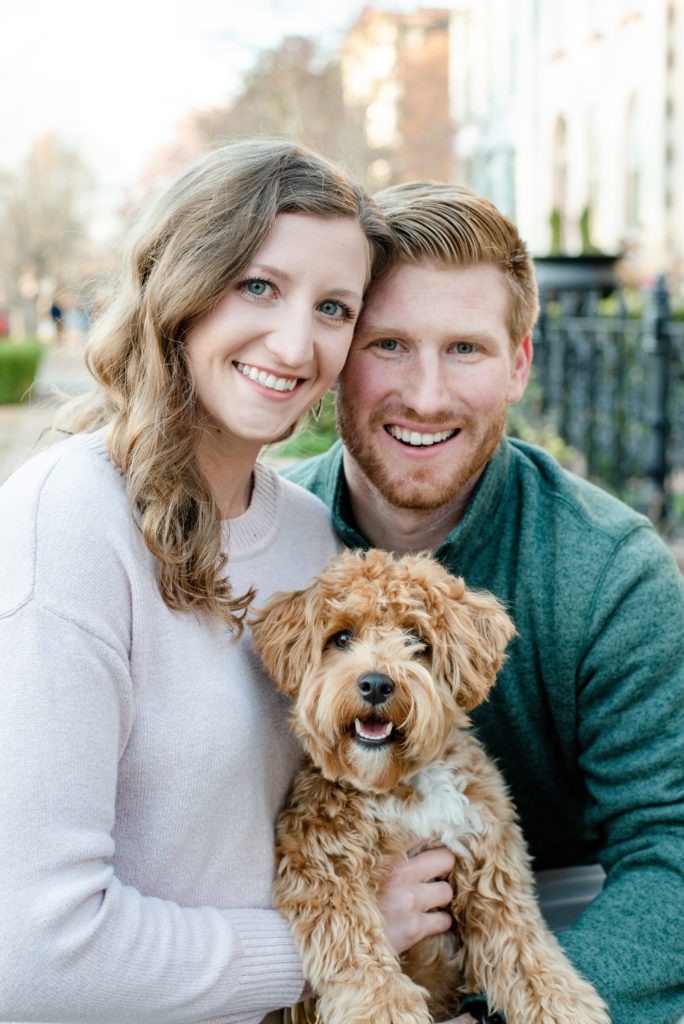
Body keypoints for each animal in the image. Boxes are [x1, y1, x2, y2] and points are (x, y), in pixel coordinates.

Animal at [249, 552, 610, 1024]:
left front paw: (562, 1004)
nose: (376, 684)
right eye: (342, 637)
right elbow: (352, 943)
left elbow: (522, 948)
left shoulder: (490, 865)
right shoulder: (322, 866)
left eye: (416, 639)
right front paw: (384, 1007)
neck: (401, 785)